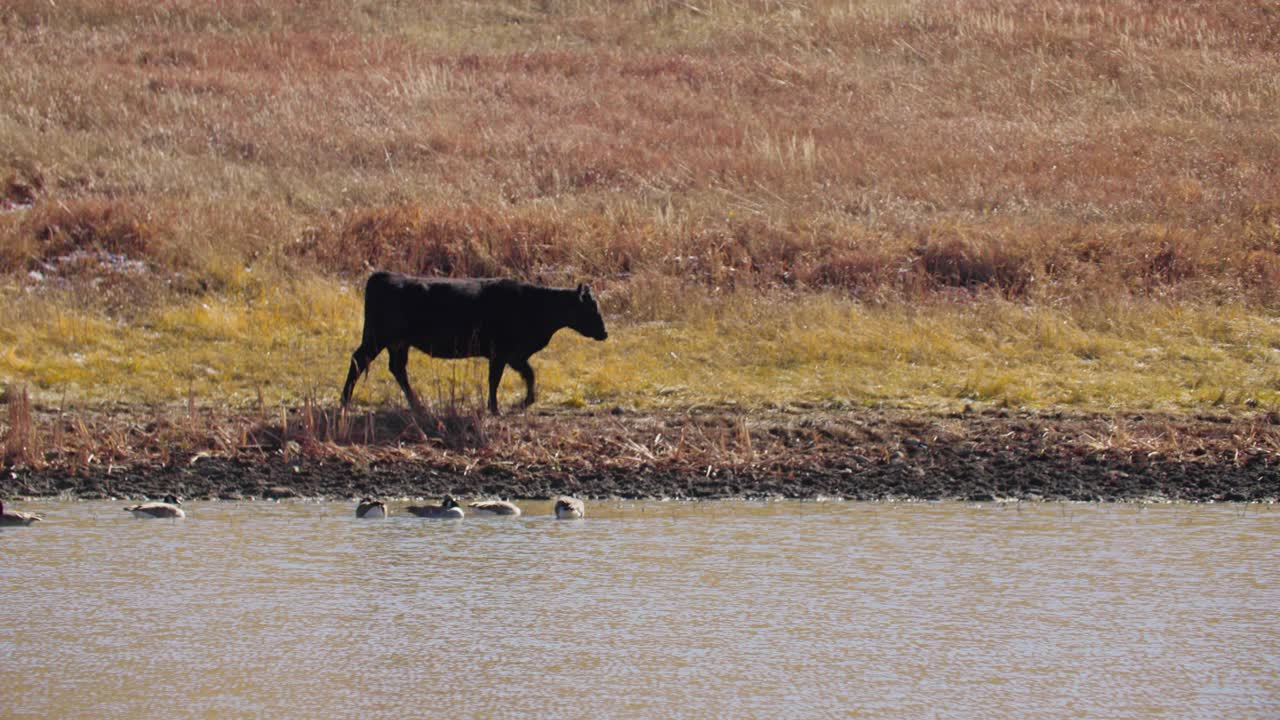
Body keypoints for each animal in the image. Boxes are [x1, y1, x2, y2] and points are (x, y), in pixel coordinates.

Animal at [340, 271, 608, 414]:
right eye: (591, 307)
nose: (605, 333)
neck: (533, 303)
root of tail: (383, 275)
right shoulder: (502, 353)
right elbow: (495, 379)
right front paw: (495, 408)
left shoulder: (514, 355)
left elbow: (529, 374)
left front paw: (526, 401)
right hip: (378, 339)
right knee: (358, 361)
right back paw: (345, 401)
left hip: (397, 343)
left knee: (397, 369)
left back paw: (416, 405)